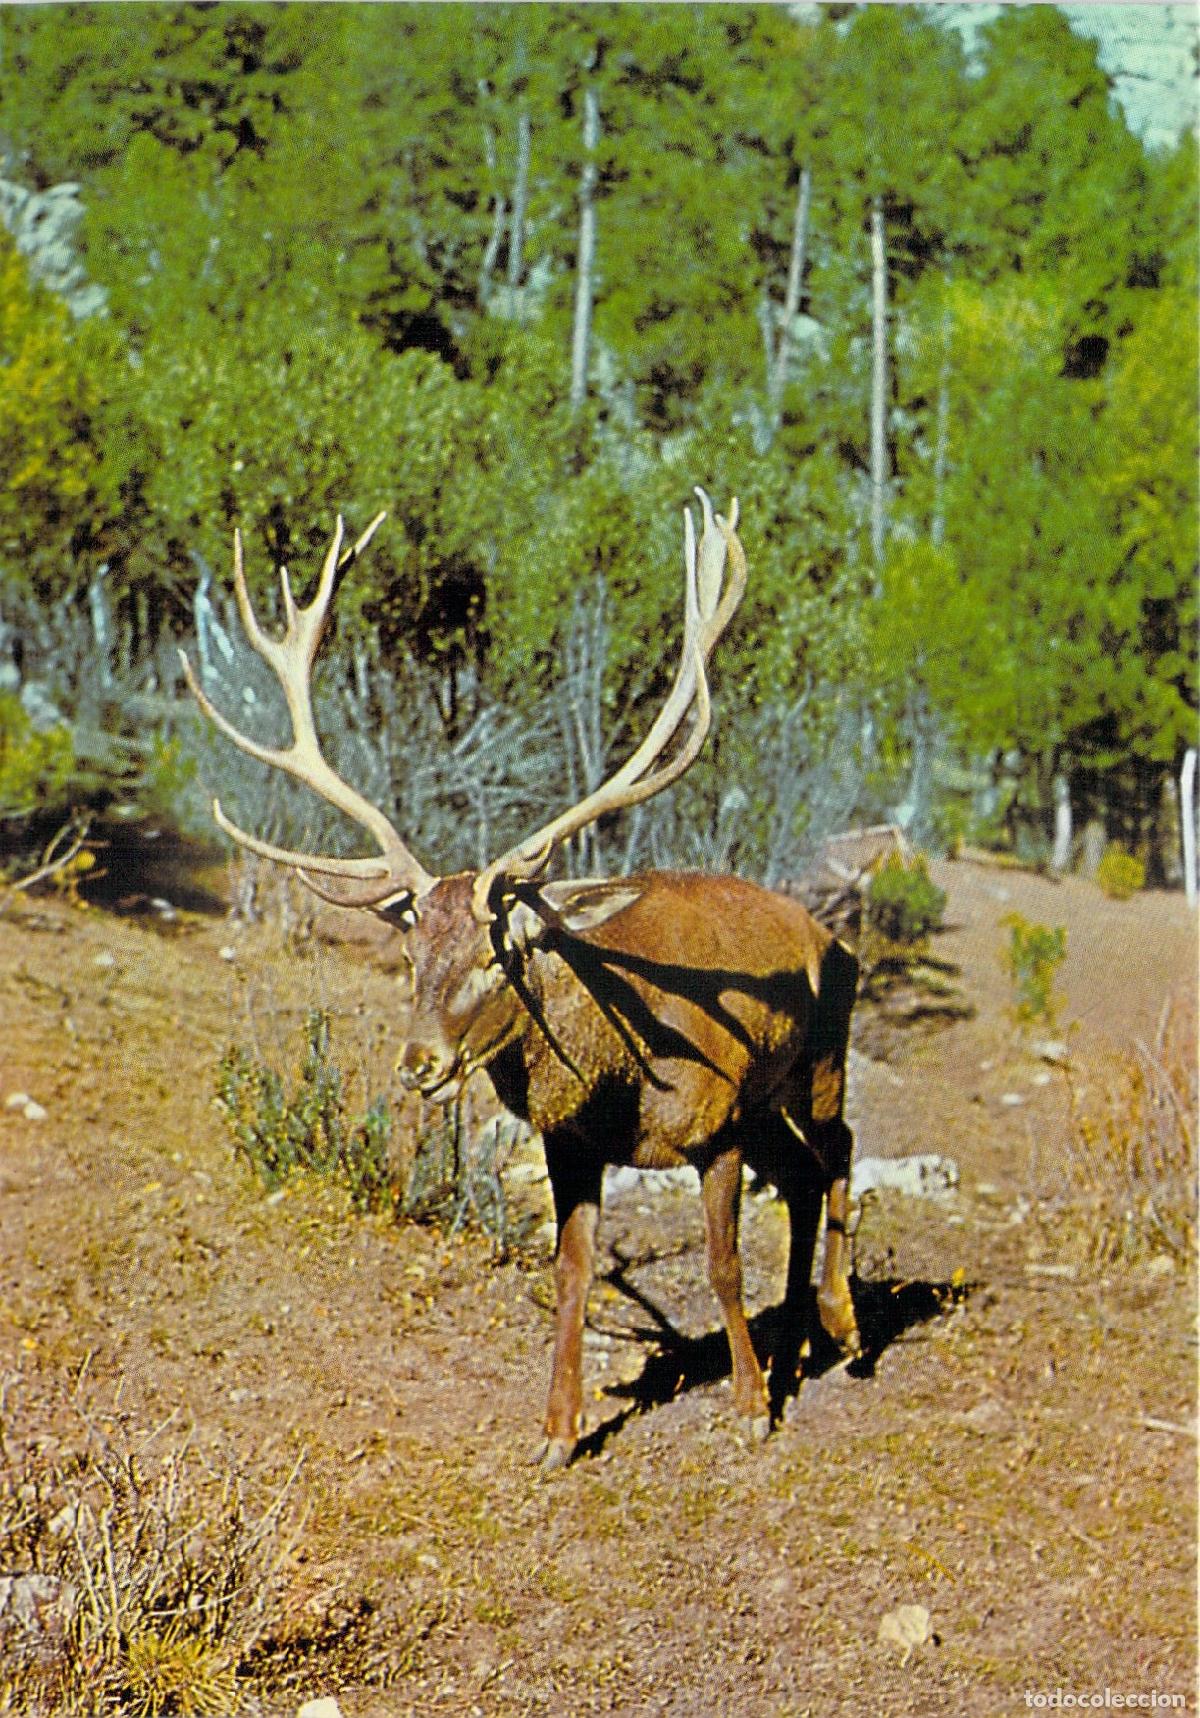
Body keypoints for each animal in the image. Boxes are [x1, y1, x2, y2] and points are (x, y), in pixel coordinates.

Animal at [181, 491, 863, 1470]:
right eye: (410, 955)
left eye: (499, 955)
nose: (420, 1063)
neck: (624, 1081)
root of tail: (829, 934)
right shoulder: (572, 1144)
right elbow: (573, 1274)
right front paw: (558, 1433)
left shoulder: (718, 1122)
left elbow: (725, 1265)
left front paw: (747, 1408)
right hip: (772, 1102)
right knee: (806, 1177)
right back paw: (802, 1342)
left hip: (819, 1062)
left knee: (839, 1152)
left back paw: (842, 1329)